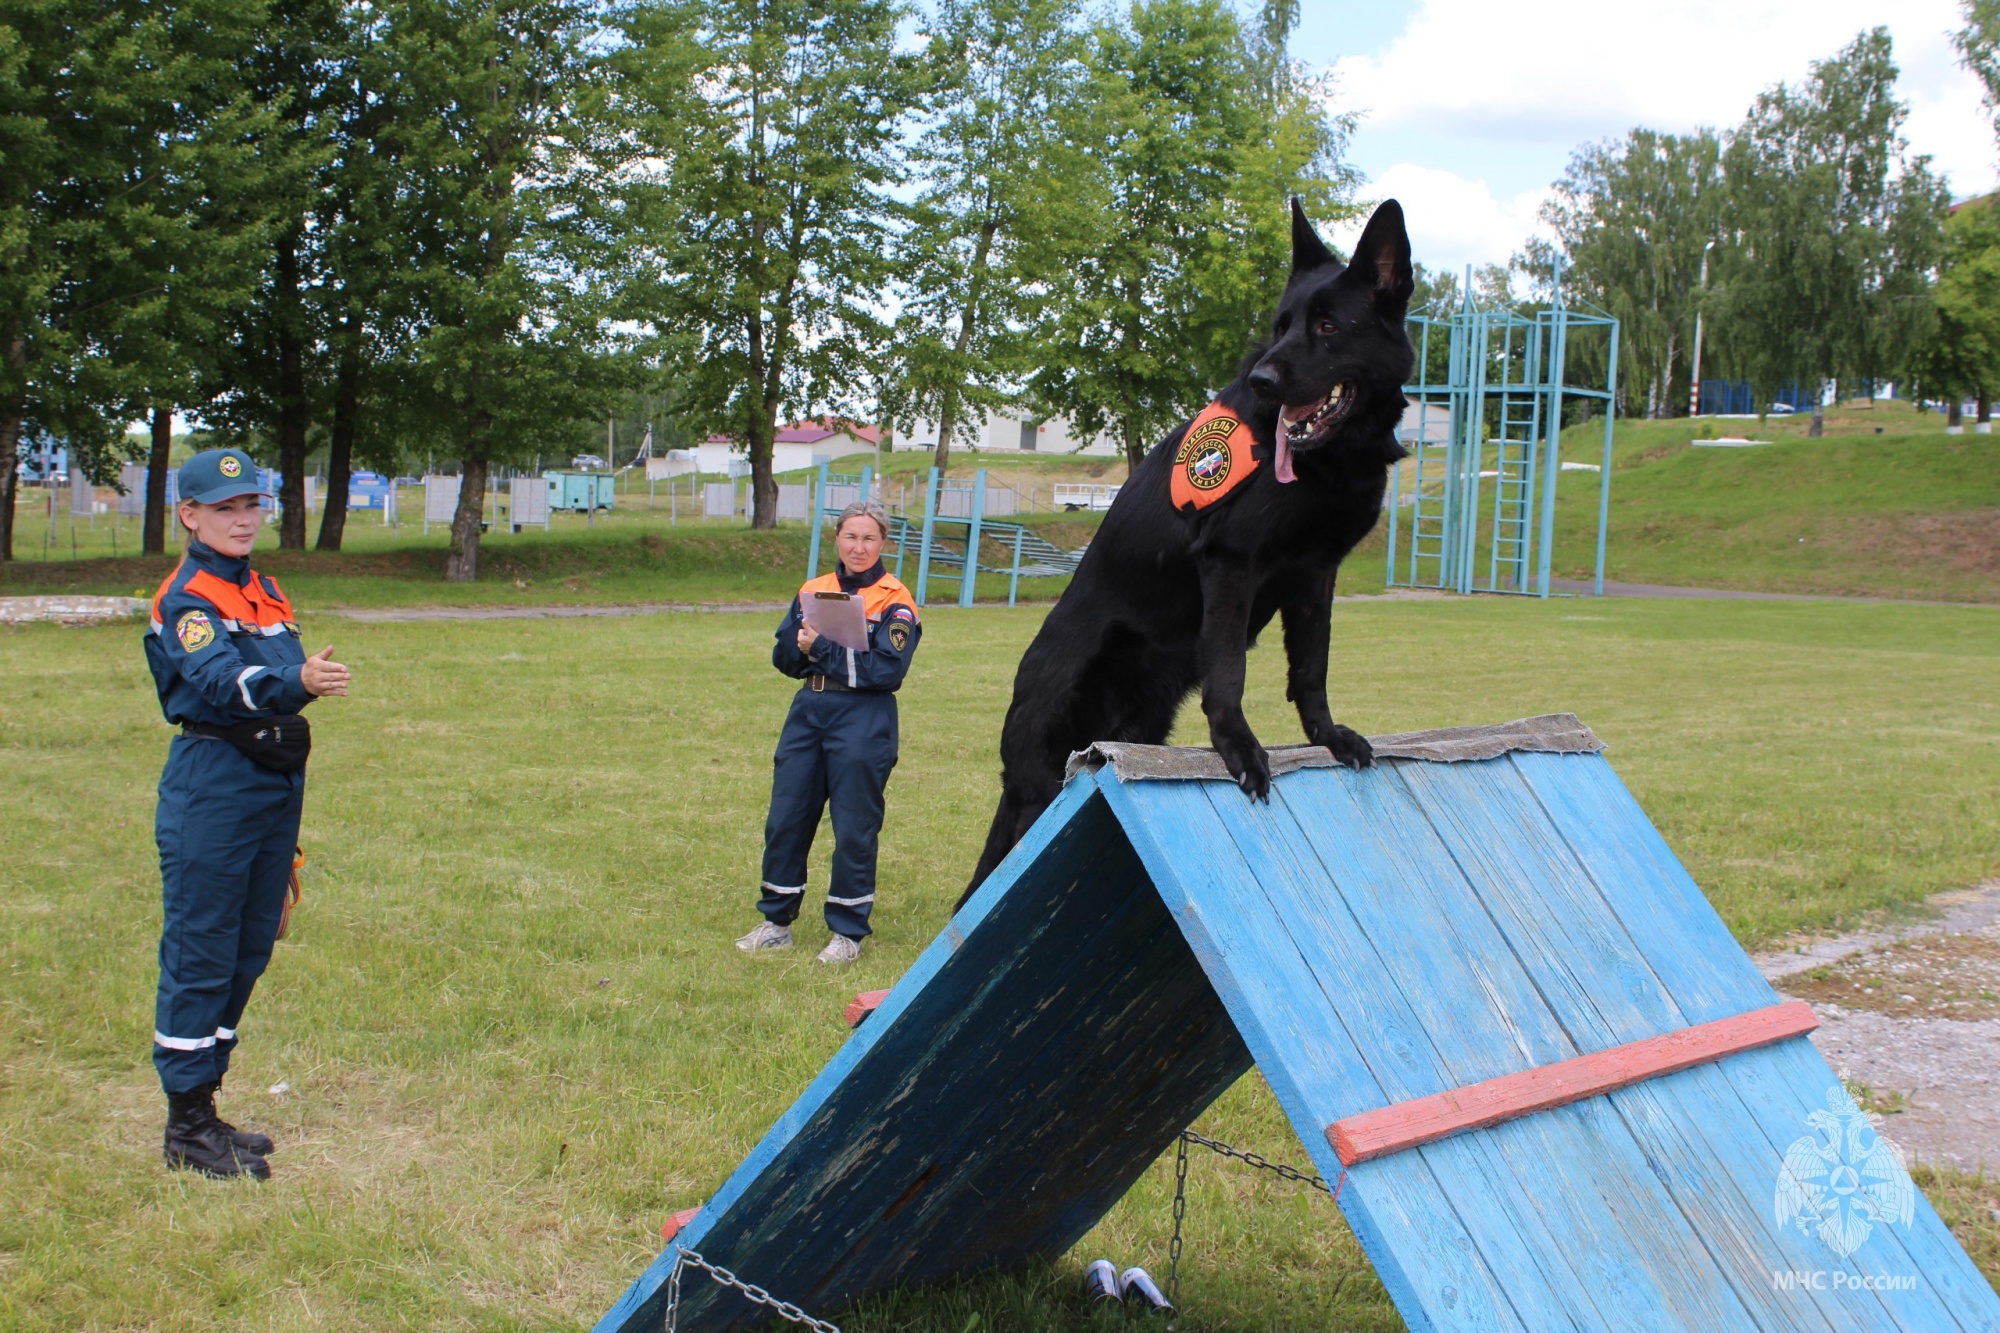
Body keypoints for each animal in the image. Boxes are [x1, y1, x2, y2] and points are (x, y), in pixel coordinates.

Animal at [960, 200, 1416, 904]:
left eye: (1328, 325)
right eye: (1280, 326)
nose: (1264, 379)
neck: (1330, 456)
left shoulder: (1316, 576)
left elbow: (1311, 669)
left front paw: (1329, 738)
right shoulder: (1231, 562)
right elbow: (1230, 671)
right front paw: (1239, 750)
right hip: (1052, 769)